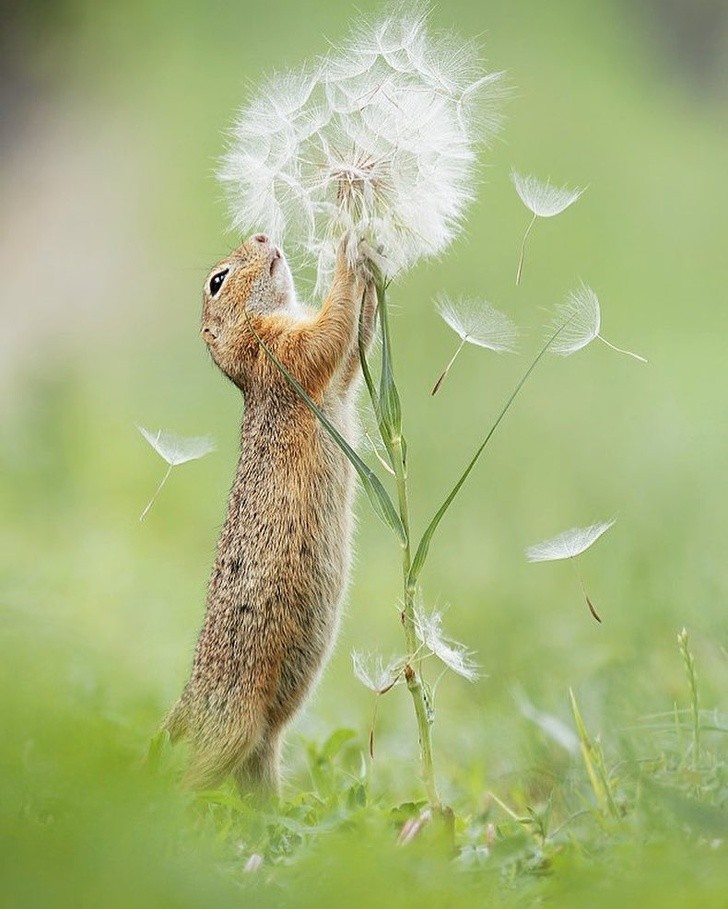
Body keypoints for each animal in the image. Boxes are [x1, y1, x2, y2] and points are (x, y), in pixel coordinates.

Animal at [164, 232, 376, 796]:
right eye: (217, 280)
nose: (261, 235)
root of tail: (187, 705)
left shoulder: (330, 375)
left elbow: (354, 350)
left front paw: (373, 261)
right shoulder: (280, 353)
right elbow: (328, 336)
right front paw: (348, 254)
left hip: (257, 750)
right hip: (230, 732)